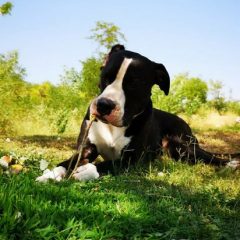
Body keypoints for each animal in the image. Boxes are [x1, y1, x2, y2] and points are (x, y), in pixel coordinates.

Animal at [36, 44, 240, 182]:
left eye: (134, 84)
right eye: (105, 77)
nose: (104, 105)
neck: (113, 127)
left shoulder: (131, 159)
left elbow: (110, 164)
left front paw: (88, 170)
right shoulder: (85, 149)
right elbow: (68, 162)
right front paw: (51, 174)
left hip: (181, 144)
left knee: (209, 157)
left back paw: (231, 164)